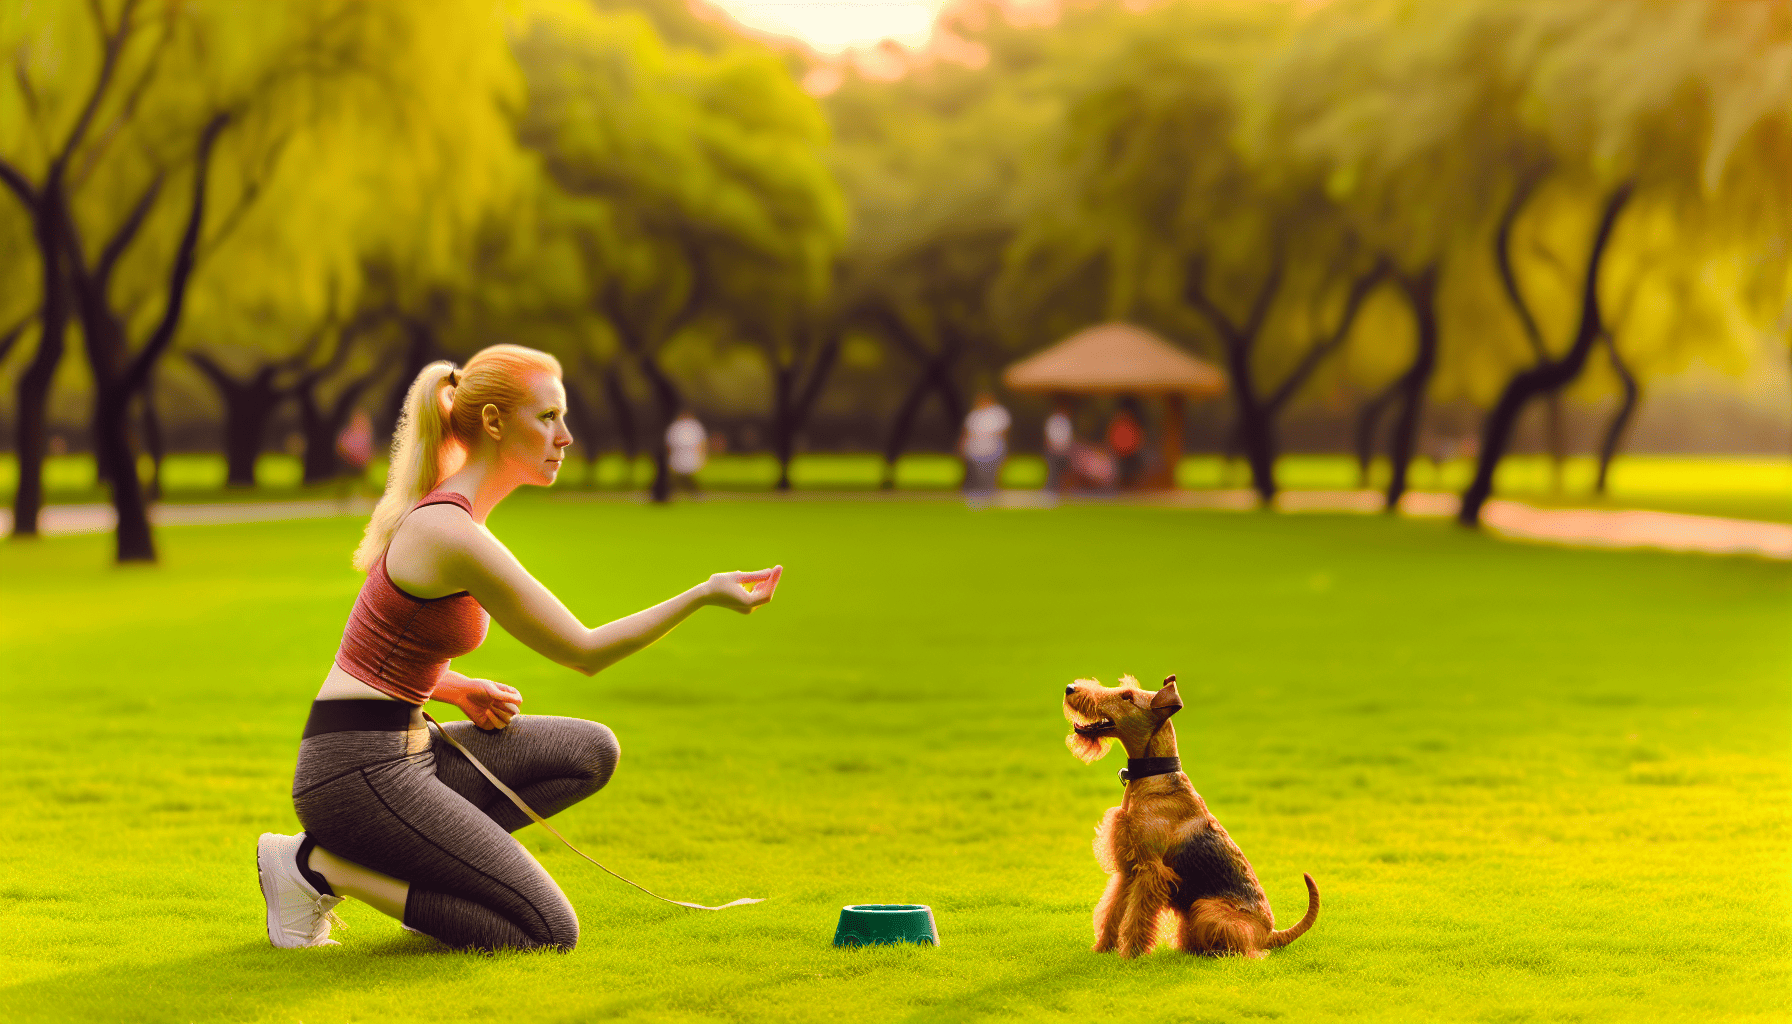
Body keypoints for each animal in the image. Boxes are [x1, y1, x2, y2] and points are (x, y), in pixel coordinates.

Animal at [1060, 677, 1318, 961]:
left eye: (1127, 696)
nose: (1070, 688)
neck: (1154, 776)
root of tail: (1271, 933)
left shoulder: (1151, 870)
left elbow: (1136, 917)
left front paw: (1131, 955)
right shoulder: (1128, 868)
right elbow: (1114, 910)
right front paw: (1103, 949)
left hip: (1206, 908)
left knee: (1251, 952)